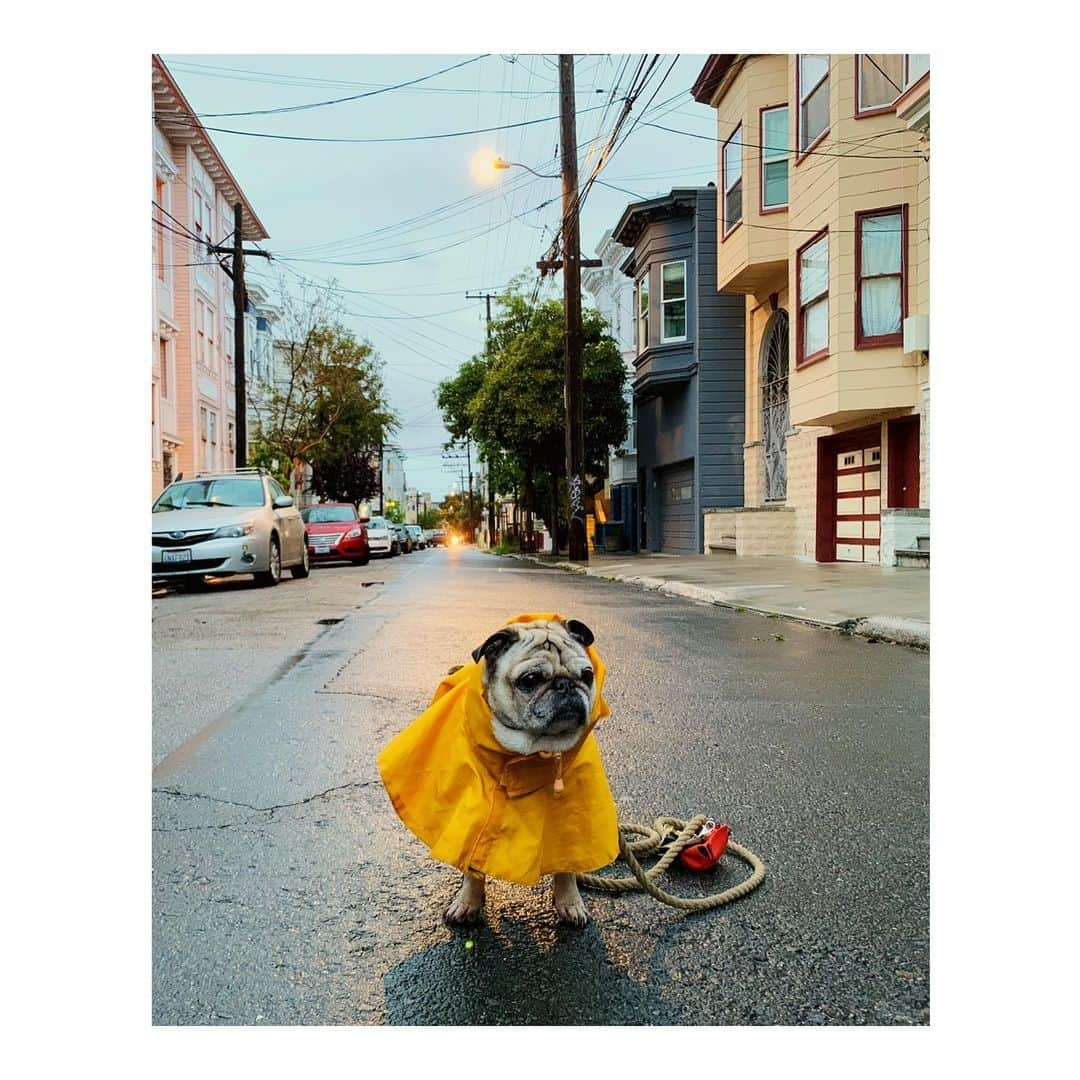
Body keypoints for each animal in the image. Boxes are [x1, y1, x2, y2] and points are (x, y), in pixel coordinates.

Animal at [444, 617, 600, 928]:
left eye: (587, 675)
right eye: (530, 680)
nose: (565, 685)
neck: (532, 749)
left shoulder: (569, 820)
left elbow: (567, 864)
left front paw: (570, 902)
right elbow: (472, 866)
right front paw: (468, 903)